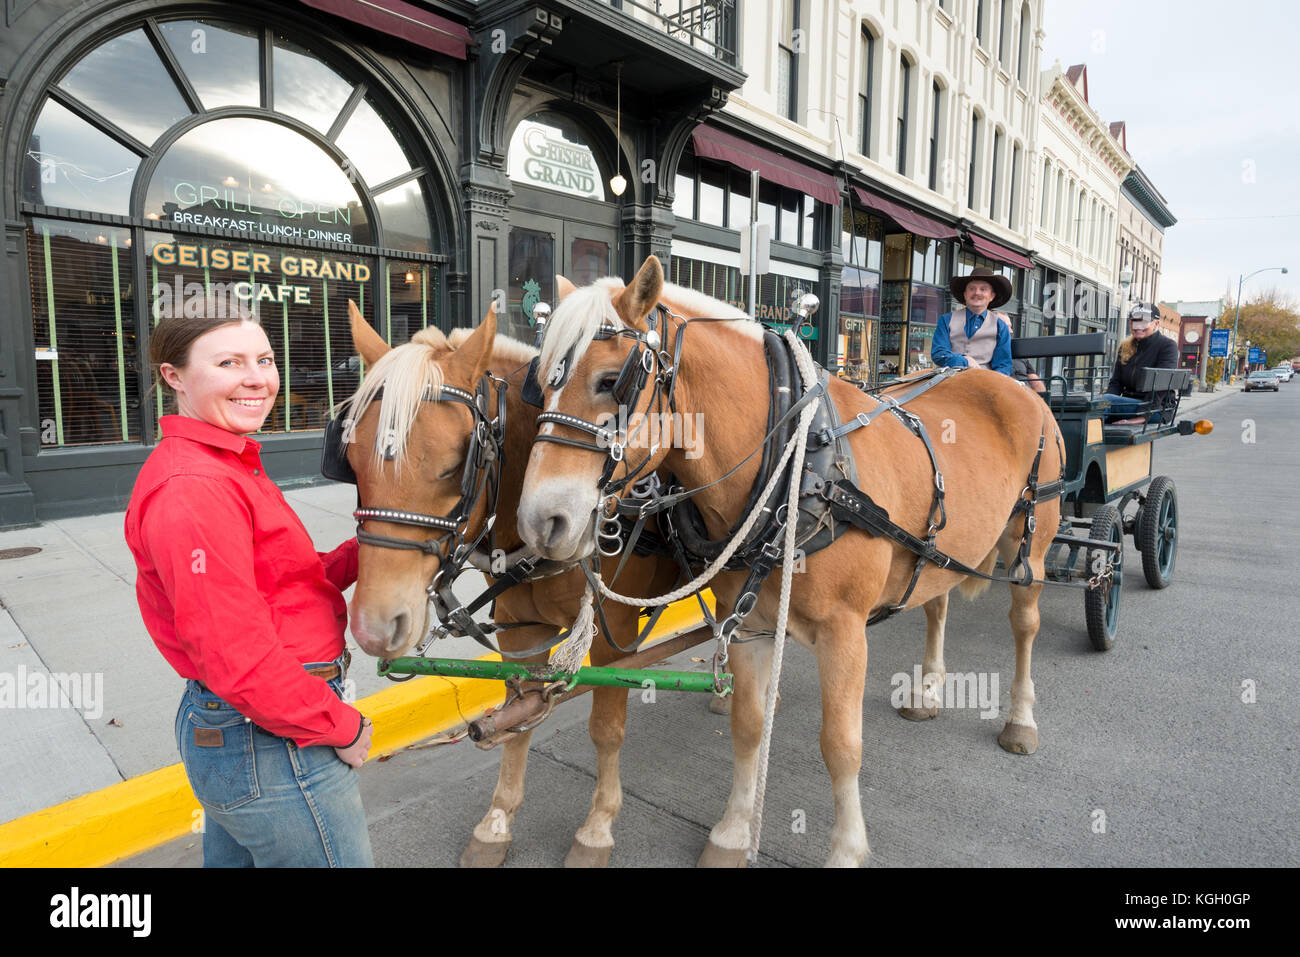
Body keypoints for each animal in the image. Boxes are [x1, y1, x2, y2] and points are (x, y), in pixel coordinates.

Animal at [335, 300, 681, 868]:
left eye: (456, 465)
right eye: (352, 462)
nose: (374, 626)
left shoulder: (614, 635)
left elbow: (606, 729)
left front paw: (597, 826)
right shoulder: (522, 629)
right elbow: (520, 718)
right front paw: (497, 822)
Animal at [512, 254, 1060, 868]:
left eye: (611, 382)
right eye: (539, 384)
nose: (540, 521)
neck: (798, 464)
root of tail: (1007, 382)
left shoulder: (845, 631)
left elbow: (841, 745)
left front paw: (846, 850)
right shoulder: (750, 625)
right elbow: (749, 727)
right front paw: (732, 831)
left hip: (1032, 544)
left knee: (1025, 625)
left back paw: (1020, 719)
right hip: (941, 550)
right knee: (936, 604)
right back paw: (928, 691)